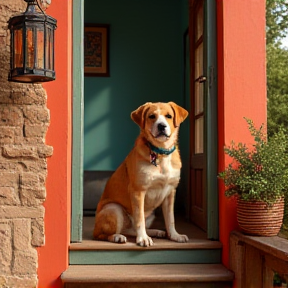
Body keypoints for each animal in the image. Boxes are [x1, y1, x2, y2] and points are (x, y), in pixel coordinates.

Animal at [93, 100, 190, 246]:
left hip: (152, 213)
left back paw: (156, 232)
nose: (162, 126)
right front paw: (143, 238)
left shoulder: (170, 193)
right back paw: (117, 237)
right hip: (113, 208)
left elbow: (170, 219)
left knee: (131, 229)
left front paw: (174, 235)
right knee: (103, 234)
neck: (160, 154)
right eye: (151, 116)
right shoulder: (138, 191)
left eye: (168, 116)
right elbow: (140, 219)